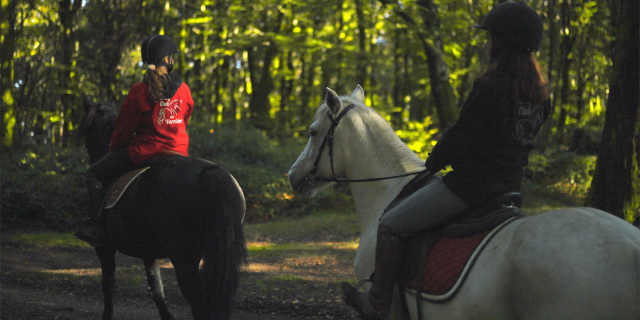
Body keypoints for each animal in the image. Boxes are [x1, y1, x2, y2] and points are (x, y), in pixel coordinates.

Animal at [77, 95, 248, 320]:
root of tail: (211, 171)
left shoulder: (104, 247)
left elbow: (108, 284)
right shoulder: (148, 251)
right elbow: (156, 290)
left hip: (183, 259)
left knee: (199, 303)